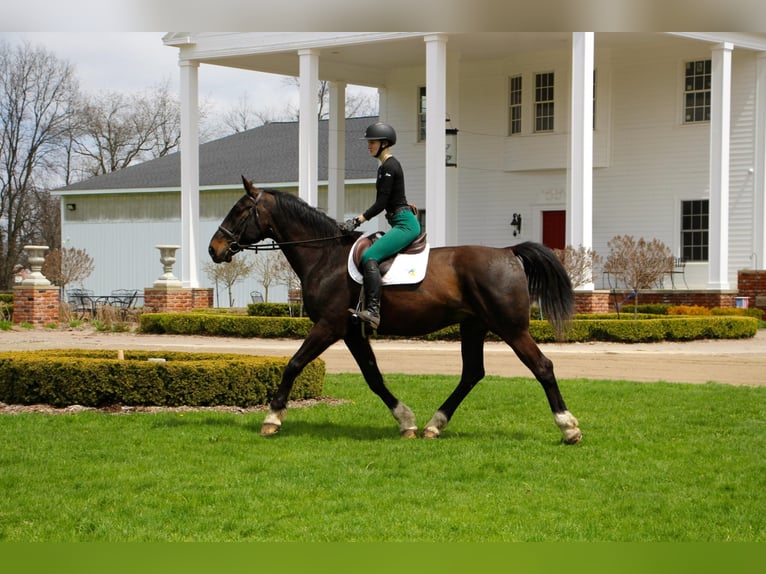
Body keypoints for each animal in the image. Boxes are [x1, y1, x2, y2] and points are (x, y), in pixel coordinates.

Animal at [208, 178, 584, 448]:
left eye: (240, 210)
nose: (214, 248)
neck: (325, 255)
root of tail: (508, 252)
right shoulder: (351, 331)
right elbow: (373, 376)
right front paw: (406, 420)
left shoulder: (329, 326)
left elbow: (294, 364)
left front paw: (272, 418)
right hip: (473, 326)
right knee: (472, 373)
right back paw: (434, 425)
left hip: (510, 328)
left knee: (542, 367)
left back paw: (568, 427)